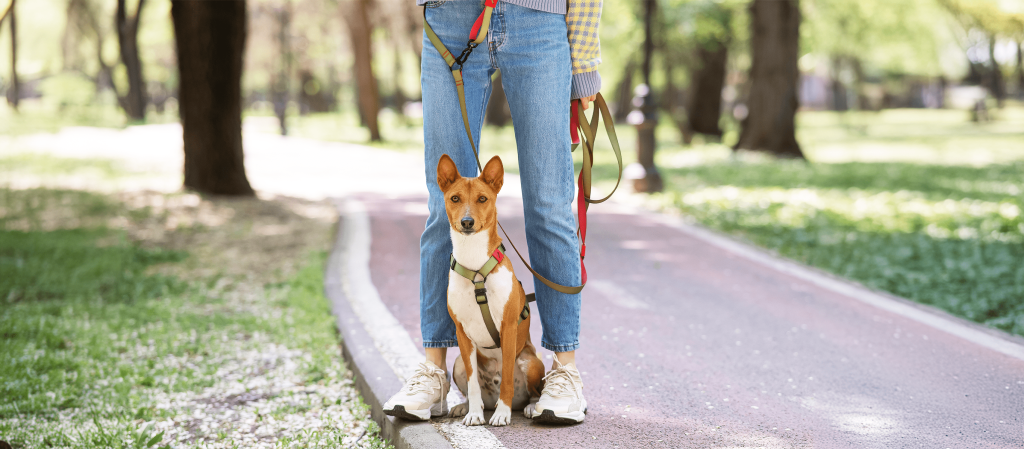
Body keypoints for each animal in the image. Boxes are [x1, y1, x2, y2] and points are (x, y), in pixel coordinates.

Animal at [436, 154, 548, 428]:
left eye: (482, 199)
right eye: (455, 198)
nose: (467, 222)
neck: (476, 265)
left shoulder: (507, 328)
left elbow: (506, 376)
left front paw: (502, 414)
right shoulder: (462, 334)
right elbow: (473, 384)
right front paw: (474, 414)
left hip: (529, 361)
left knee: (532, 392)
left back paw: (527, 407)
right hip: (457, 363)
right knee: (476, 390)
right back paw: (466, 407)